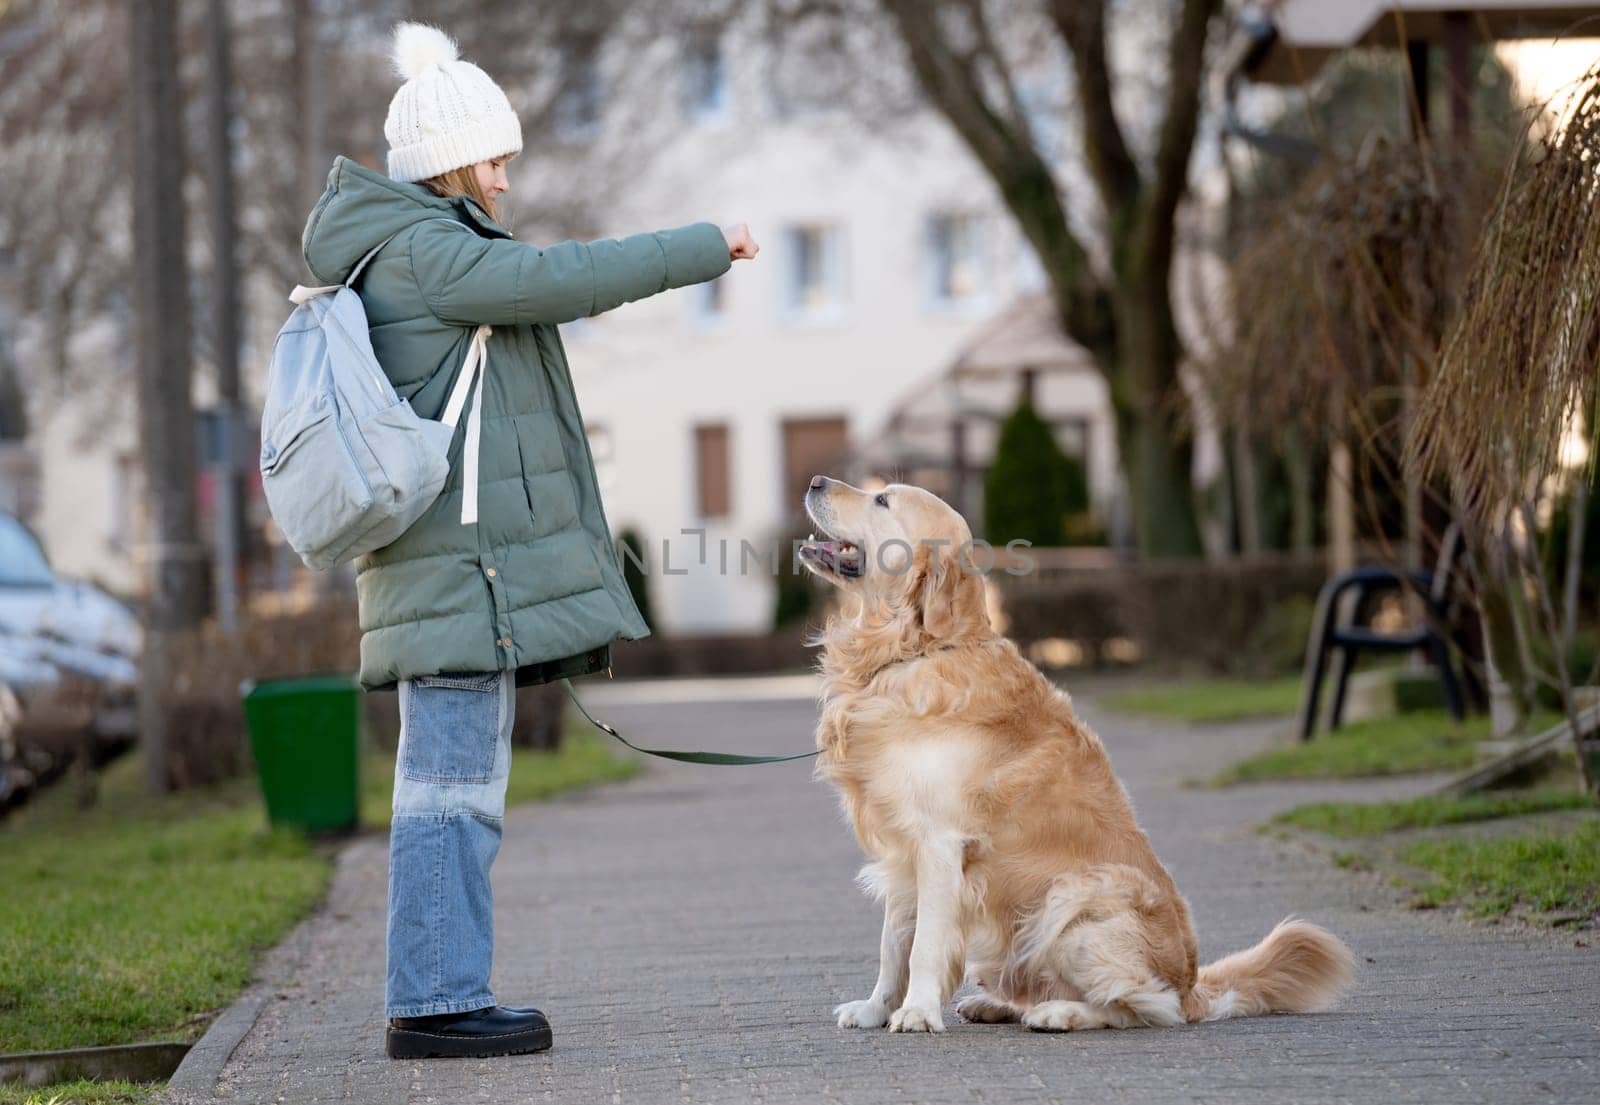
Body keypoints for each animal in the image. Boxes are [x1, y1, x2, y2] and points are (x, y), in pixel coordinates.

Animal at [800, 476, 1350, 1036]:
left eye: (882, 500)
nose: (817, 481)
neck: (914, 650)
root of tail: (1192, 985)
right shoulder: (902, 848)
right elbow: (893, 945)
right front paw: (875, 1008)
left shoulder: (940, 843)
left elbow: (924, 947)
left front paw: (915, 1011)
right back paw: (995, 1003)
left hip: (1076, 897)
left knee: (1142, 1006)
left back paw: (1058, 1012)